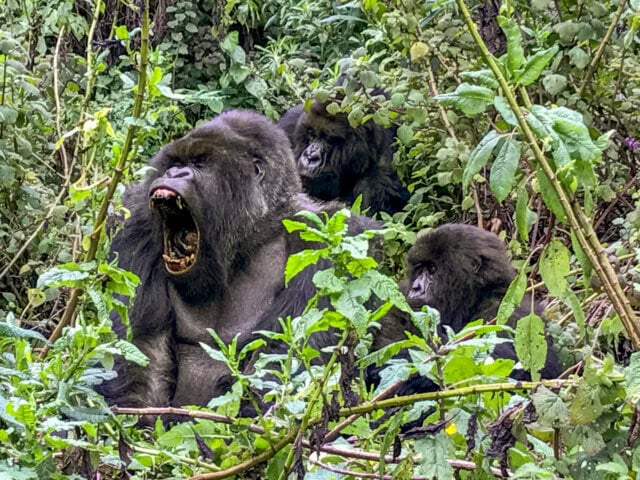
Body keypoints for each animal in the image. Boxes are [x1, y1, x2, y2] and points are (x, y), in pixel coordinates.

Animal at [97, 110, 380, 417]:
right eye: (175, 163)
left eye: (199, 164)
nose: (173, 174)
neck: (255, 234)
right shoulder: (135, 220)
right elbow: (141, 349)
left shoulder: (331, 241)